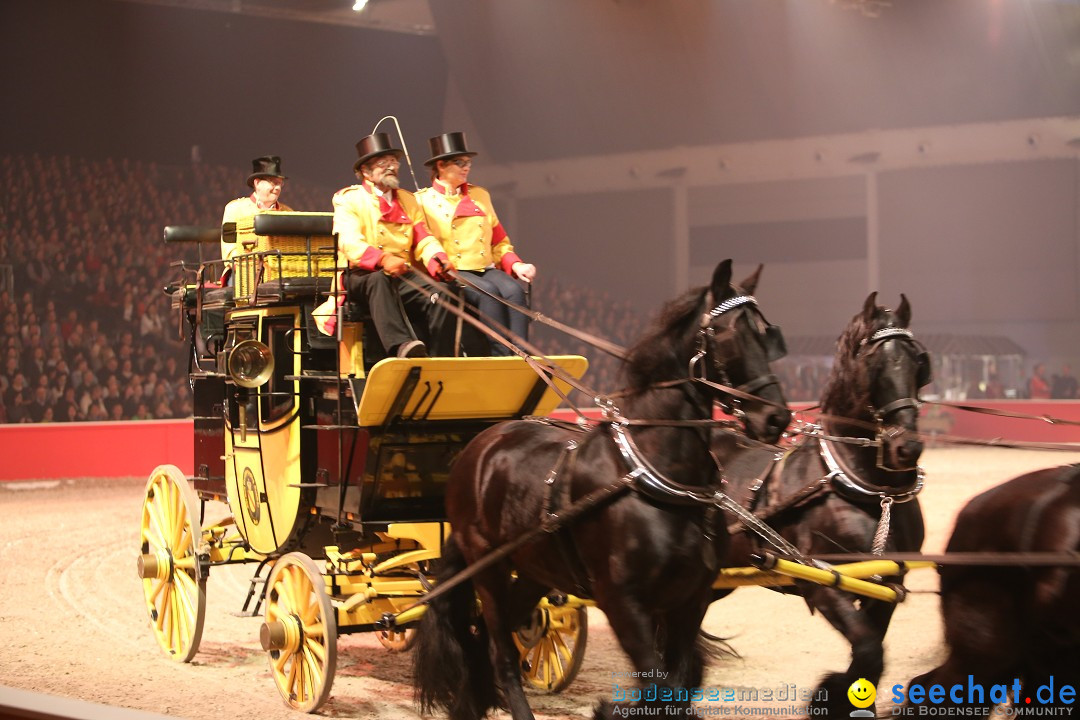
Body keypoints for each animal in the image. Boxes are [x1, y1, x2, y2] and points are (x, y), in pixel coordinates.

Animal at [412, 260, 794, 720]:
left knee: (494, 635)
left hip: (535, 567)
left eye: (767, 333)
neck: (662, 478)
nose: (776, 418)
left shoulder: (691, 600)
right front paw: (609, 707)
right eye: (725, 333)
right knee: (499, 650)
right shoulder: (622, 602)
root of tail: (480, 445)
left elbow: (677, 685)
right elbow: (661, 687)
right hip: (487, 564)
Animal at [717, 291, 928, 716]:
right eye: (874, 364)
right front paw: (827, 695)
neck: (873, 493)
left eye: (918, 363)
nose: (907, 448)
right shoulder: (824, 582)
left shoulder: (887, 586)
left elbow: (872, 654)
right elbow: (868, 650)